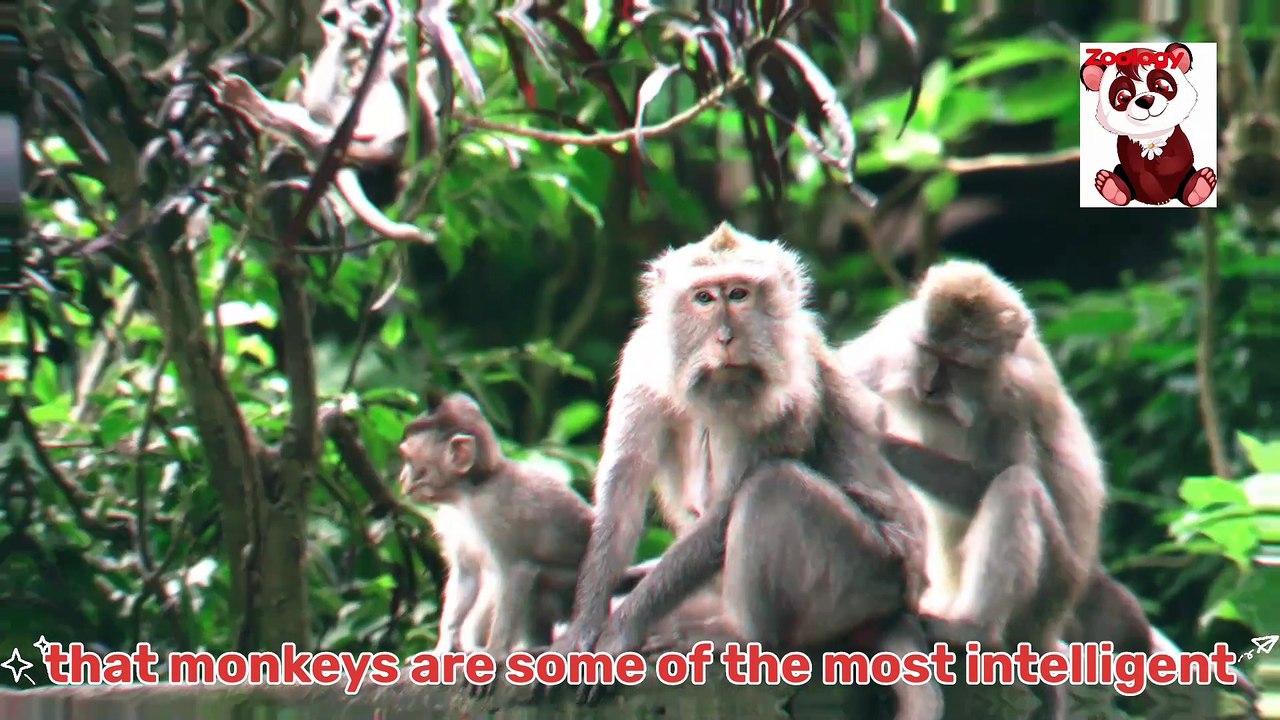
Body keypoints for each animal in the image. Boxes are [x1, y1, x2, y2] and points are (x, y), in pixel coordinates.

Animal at [398, 392, 594, 656]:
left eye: (410, 460)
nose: (401, 478)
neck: (468, 493)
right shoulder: (450, 518)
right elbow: (467, 575)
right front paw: (444, 645)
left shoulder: (496, 513)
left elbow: (516, 571)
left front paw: (495, 652)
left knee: (533, 578)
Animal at [553, 222, 942, 719]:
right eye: (703, 298)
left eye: (739, 294)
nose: (724, 338)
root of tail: (902, 603)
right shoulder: (642, 363)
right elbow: (621, 497)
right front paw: (583, 631)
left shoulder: (787, 396)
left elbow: (723, 516)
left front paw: (619, 634)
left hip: (866, 576)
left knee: (772, 486)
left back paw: (739, 638)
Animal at [838, 259, 1107, 719]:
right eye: (931, 354)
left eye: (957, 363)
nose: (929, 387)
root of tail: (1049, 628)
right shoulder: (898, 341)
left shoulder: (1017, 395)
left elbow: (996, 478)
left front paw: (886, 446)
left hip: (1049, 590)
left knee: (1017, 487)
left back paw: (972, 631)